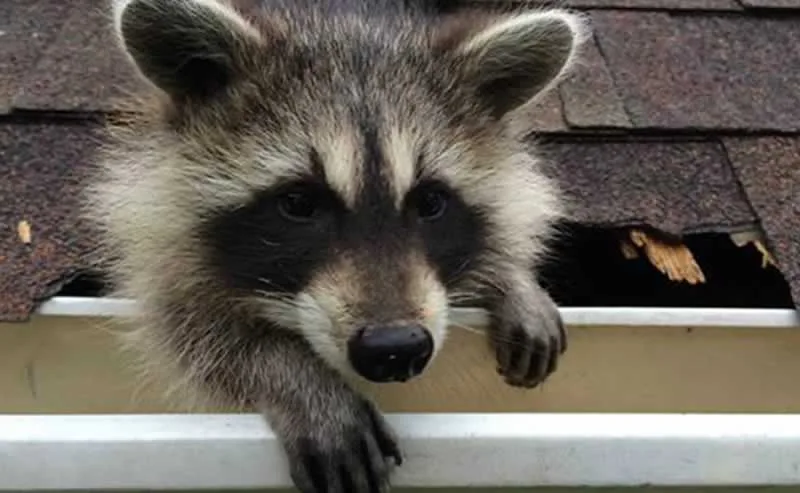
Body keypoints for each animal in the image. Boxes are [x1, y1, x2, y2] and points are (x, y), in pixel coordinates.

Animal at [84, 0, 587, 491]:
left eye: (430, 202)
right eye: (299, 203)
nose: (394, 348)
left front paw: (511, 280)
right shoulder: (160, 234)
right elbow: (191, 329)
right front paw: (297, 378)